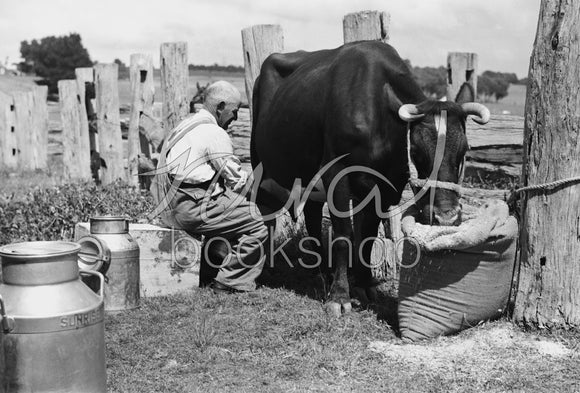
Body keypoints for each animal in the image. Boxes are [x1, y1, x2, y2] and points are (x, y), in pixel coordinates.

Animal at [250, 40, 490, 316]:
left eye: (464, 151)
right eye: (417, 152)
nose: (446, 217)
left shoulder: (384, 187)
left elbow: (368, 236)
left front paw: (364, 285)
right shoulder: (337, 173)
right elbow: (344, 235)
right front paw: (340, 296)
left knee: (311, 216)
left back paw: (324, 272)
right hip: (261, 166)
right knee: (267, 213)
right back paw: (265, 267)